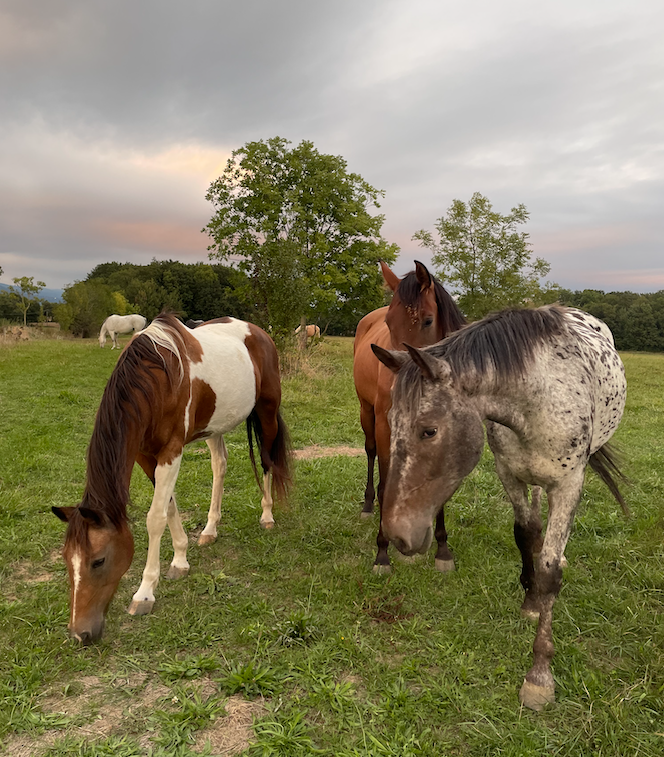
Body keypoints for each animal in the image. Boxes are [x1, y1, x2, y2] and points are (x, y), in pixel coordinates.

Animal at [52, 314, 290, 644]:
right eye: (65, 559)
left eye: (98, 560)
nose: (79, 634)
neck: (156, 381)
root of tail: (259, 333)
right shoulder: (145, 455)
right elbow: (170, 506)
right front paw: (180, 559)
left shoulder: (171, 451)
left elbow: (155, 517)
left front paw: (144, 593)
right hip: (213, 427)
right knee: (220, 466)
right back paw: (210, 529)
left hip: (267, 411)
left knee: (267, 461)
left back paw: (267, 516)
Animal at [352, 262, 466, 568]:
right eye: (389, 324)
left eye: (427, 321)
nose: (399, 389)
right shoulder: (385, 426)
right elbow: (386, 481)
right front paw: (382, 553)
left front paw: (442, 550)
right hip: (366, 411)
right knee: (370, 453)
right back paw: (368, 506)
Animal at [374, 302, 628, 708]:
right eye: (390, 421)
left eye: (429, 430)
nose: (397, 534)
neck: (539, 400)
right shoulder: (509, 473)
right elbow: (524, 534)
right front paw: (531, 600)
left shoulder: (568, 484)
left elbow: (551, 570)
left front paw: (539, 676)